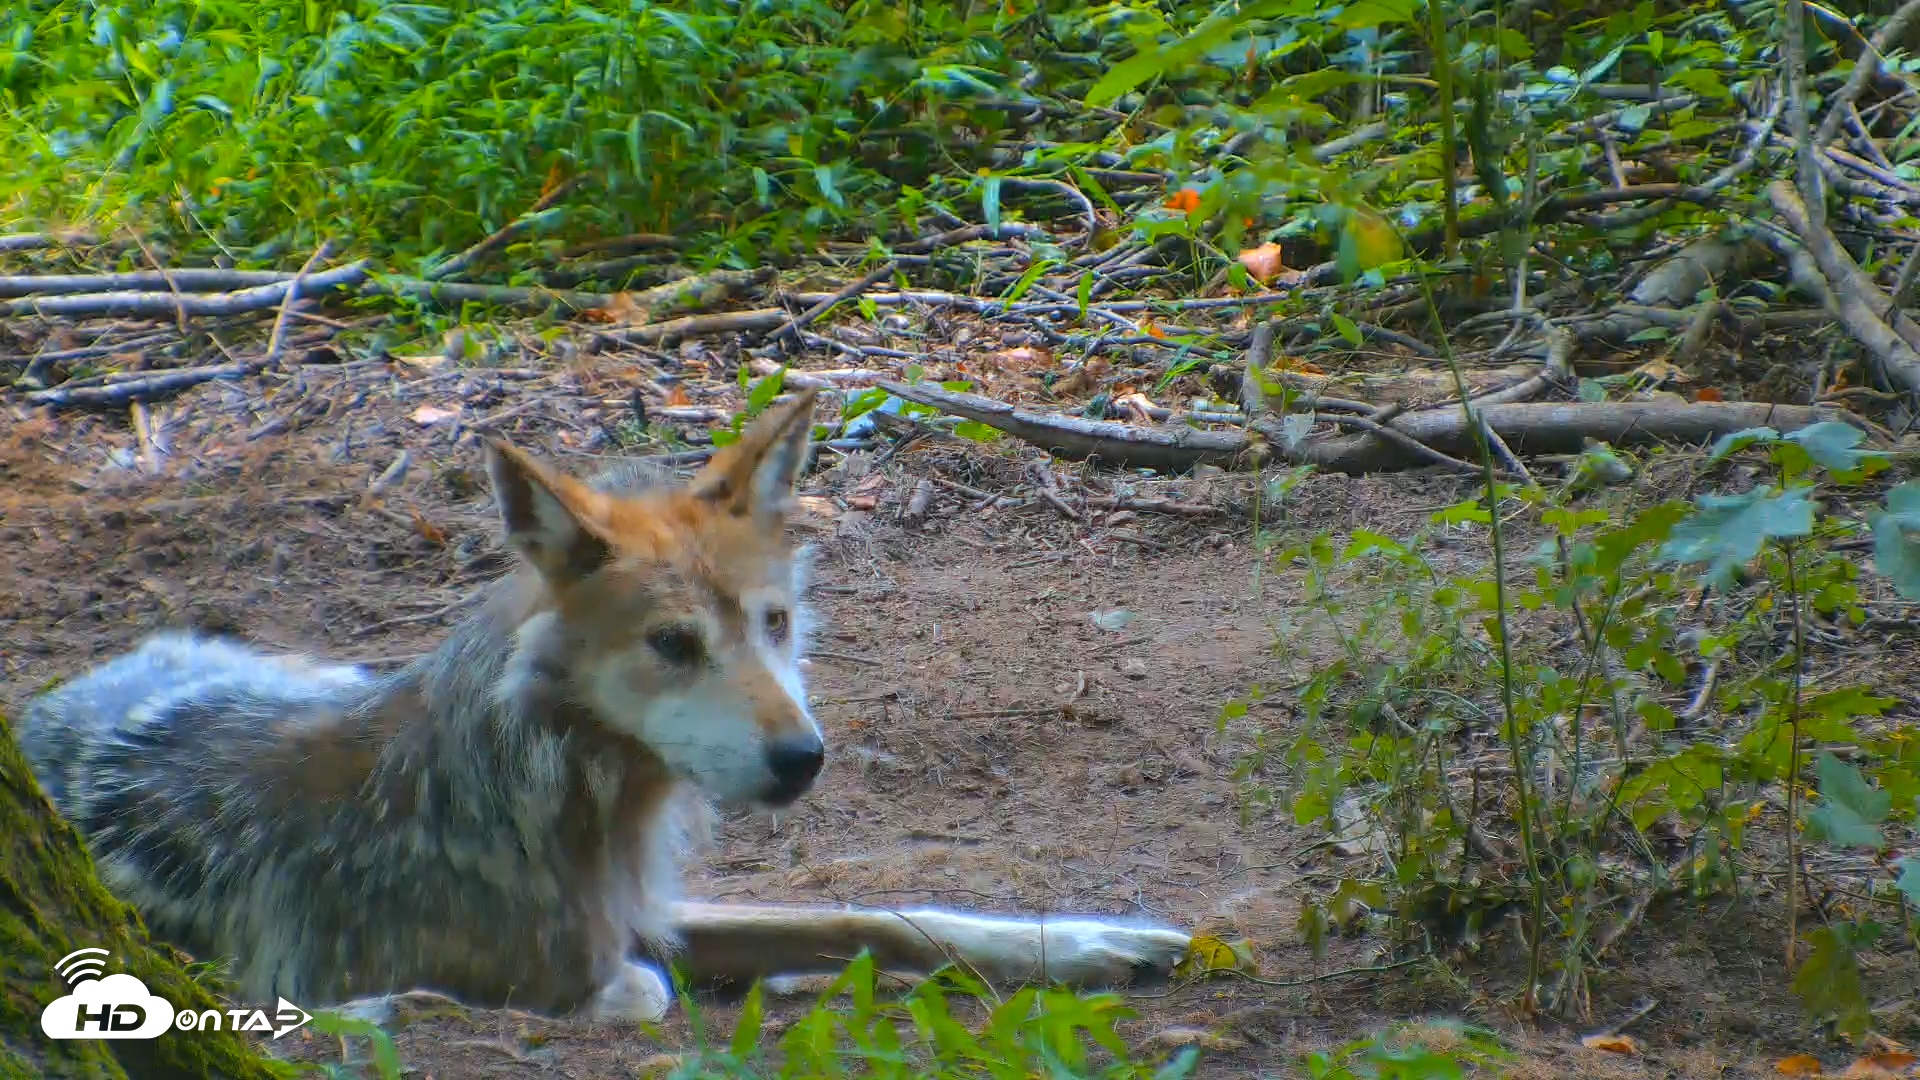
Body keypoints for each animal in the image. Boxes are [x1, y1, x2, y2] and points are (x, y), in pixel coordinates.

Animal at [17, 389, 1192, 1024]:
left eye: (774, 624)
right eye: (673, 645)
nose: (804, 758)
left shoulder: (643, 903)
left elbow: (882, 914)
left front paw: (1084, 942)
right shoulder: (584, 950)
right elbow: (640, 987)